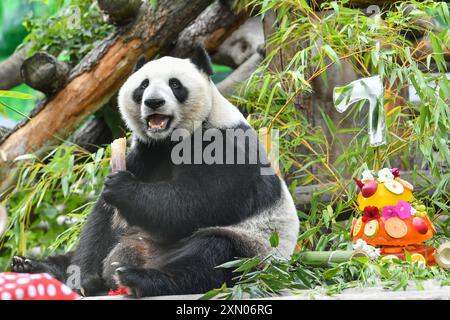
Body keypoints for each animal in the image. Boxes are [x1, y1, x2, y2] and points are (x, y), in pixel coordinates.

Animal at [10, 47, 298, 298]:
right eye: (143, 85)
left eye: (175, 84)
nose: (154, 102)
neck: (172, 139)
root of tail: (144, 255)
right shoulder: (148, 152)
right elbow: (100, 220)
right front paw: (82, 277)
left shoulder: (227, 145)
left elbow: (197, 199)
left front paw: (123, 189)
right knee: (72, 252)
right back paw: (32, 266)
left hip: (251, 250)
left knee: (211, 258)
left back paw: (138, 279)